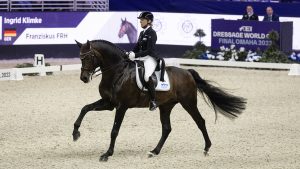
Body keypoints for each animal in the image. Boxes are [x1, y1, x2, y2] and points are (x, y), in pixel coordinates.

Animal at [72, 39, 246, 162]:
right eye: (80, 58)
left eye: (88, 57)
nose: (84, 78)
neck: (117, 72)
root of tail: (187, 72)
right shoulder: (109, 103)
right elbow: (84, 108)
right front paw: (75, 133)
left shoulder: (121, 106)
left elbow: (114, 130)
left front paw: (107, 154)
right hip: (166, 106)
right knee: (167, 128)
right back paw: (154, 151)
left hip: (188, 103)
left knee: (200, 122)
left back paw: (206, 148)